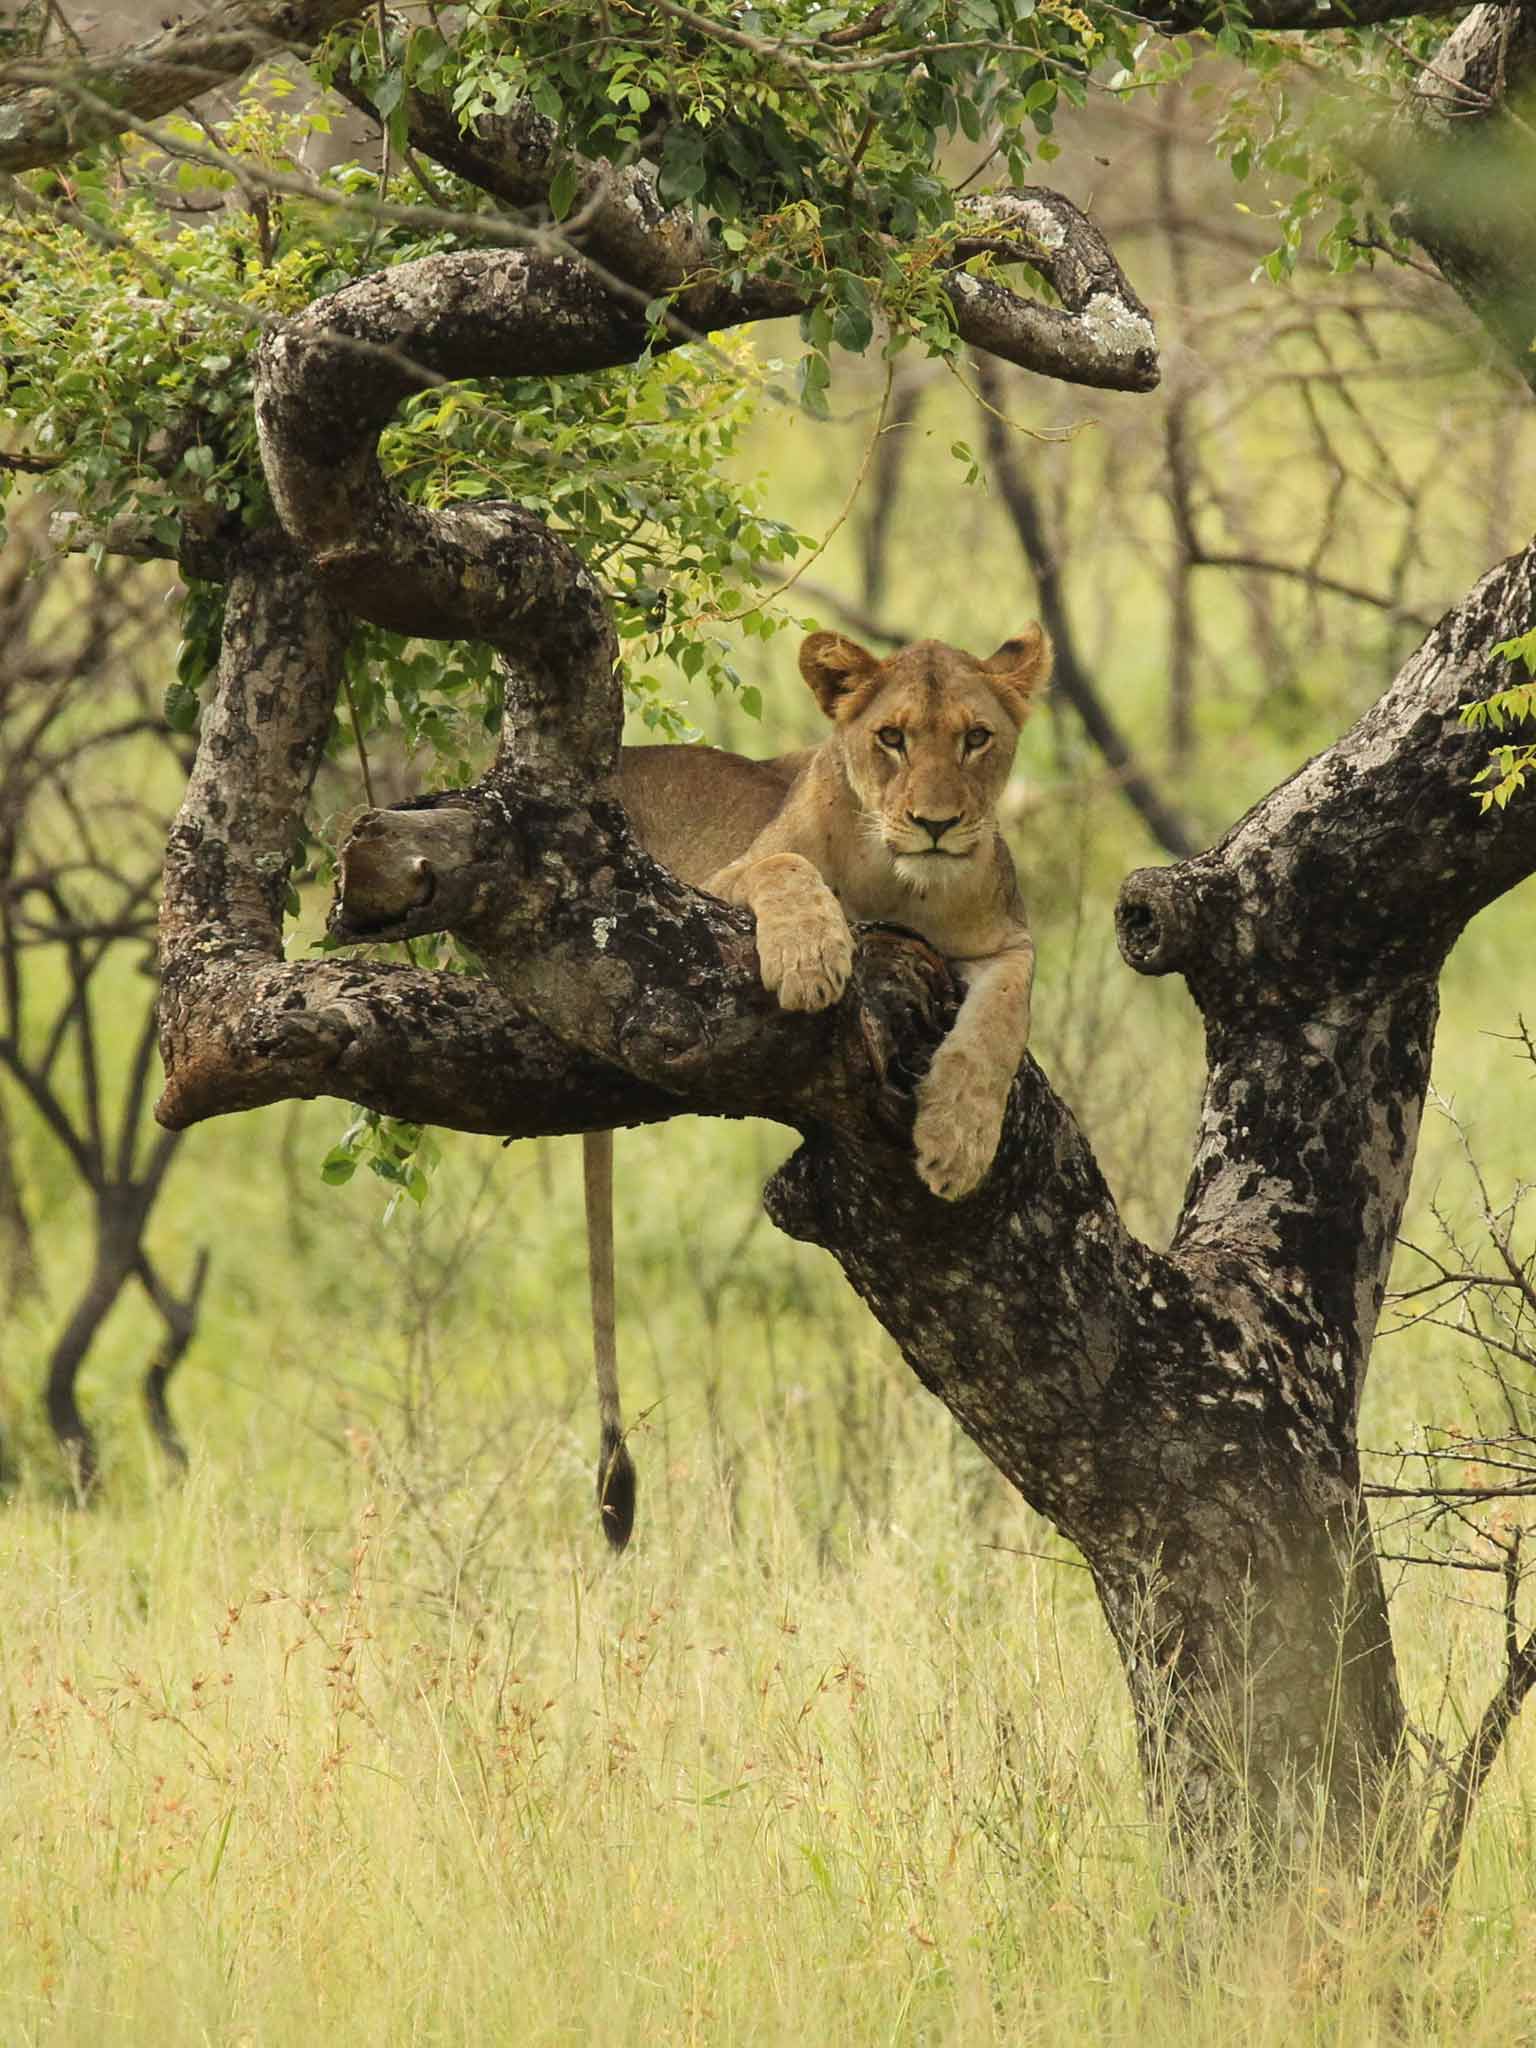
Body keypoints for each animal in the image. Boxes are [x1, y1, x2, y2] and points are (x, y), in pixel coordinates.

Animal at [593, 622, 1056, 1548]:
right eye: (893, 738)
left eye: (976, 739)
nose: (937, 824)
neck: (903, 882)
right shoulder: (721, 883)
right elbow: (785, 870)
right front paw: (811, 957)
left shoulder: (1009, 941)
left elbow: (997, 1028)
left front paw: (956, 1144)